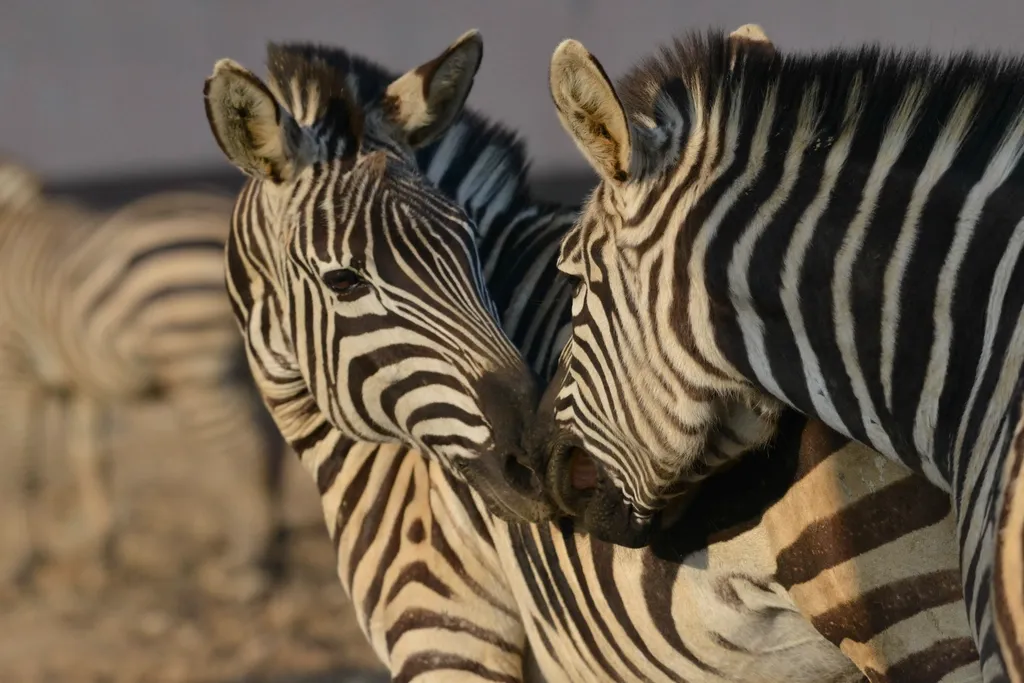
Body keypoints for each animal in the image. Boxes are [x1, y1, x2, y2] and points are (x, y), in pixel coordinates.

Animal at [0, 161, 284, 602]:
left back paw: (245, 566)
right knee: (274, 444)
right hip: (250, 363)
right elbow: (89, 458)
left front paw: (21, 563)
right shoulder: (80, 380)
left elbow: (23, 468)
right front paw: (101, 552)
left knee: (245, 449)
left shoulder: (18, 368)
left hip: (194, 362)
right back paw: (272, 544)